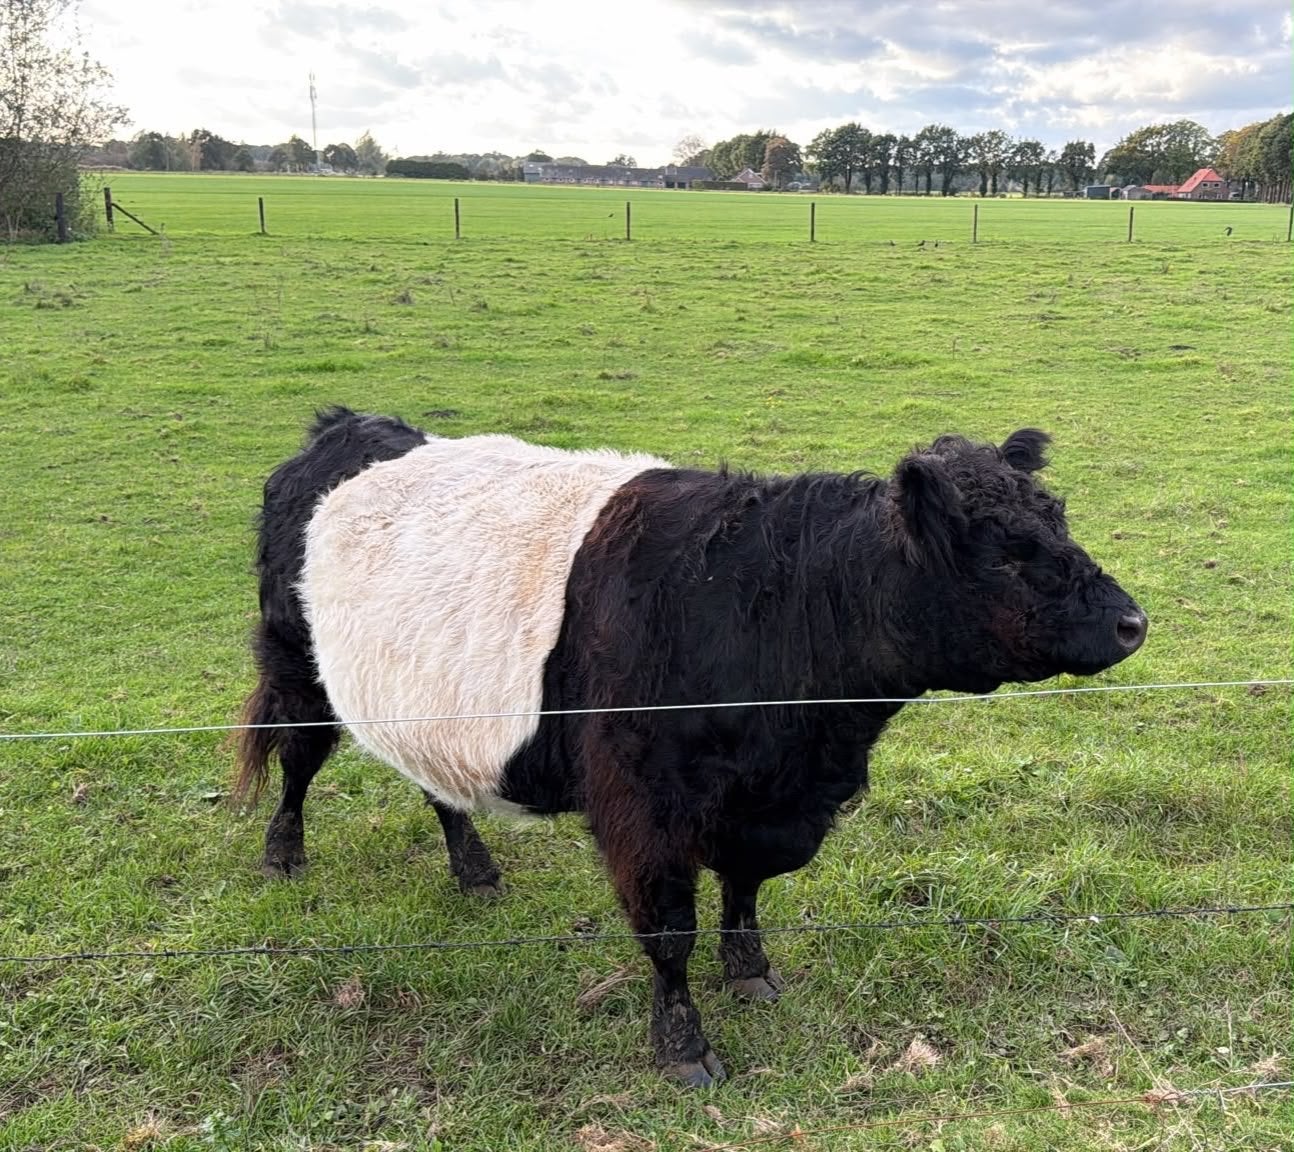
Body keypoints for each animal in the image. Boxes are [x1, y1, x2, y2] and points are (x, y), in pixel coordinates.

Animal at [233, 407, 1147, 1087]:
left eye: (1058, 521)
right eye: (1009, 554)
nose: (1133, 622)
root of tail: (345, 426)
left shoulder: (766, 801)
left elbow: (745, 887)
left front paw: (749, 971)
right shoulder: (643, 804)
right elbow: (669, 929)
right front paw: (683, 1047)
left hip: (426, 707)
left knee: (438, 785)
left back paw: (476, 870)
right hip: (298, 662)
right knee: (297, 758)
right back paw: (283, 852)